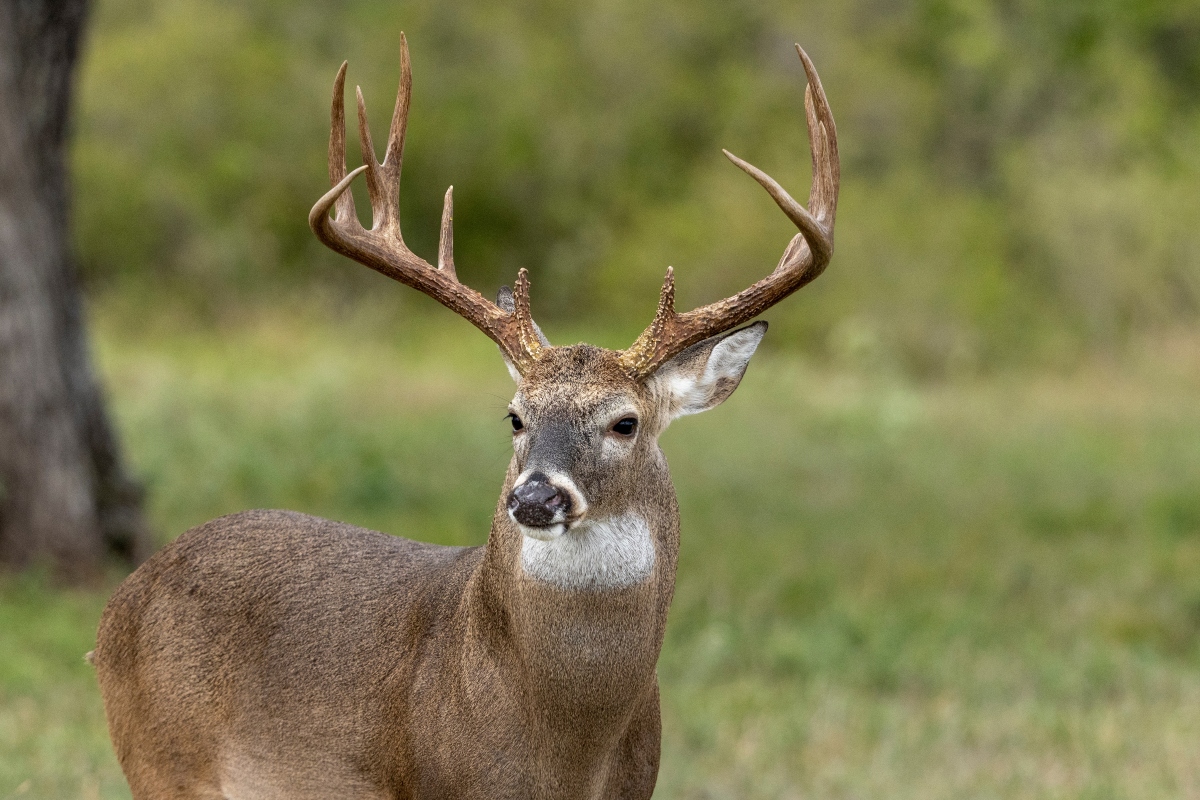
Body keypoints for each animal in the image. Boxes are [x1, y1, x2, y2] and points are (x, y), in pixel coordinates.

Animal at [92, 33, 838, 800]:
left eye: (625, 422)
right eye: (514, 416)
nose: (535, 497)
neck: (566, 752)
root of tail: (119, 605)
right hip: (162, 761)